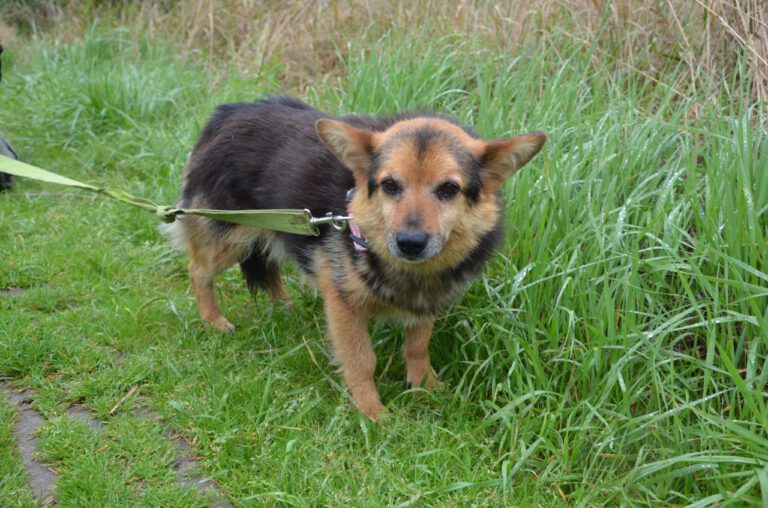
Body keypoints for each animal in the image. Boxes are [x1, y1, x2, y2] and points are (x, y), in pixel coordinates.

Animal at [164, 94, 544, 416]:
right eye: (390, 185)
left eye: (449, 189)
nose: (410, 242)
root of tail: (229, 112)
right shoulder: (343, 304)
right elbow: (362, 361)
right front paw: (371, 412)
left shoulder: (422, 307)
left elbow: (417, 348)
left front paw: (426, 387)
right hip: (230, 235)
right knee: (198, 270)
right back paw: (213, 320)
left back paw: (284, 307)